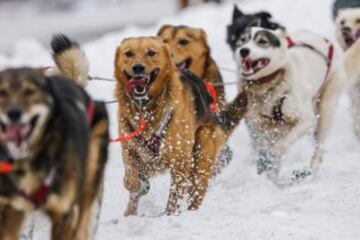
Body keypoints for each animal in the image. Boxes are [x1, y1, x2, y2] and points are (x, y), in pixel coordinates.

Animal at [115, 36, 248, 216]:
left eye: (151, 52)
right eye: (128, 53)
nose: (138, 67)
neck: (147, 110)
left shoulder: (180, 160)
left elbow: (176, 194)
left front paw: (170, 214)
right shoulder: (129, 148)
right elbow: (131, 179)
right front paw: (137, 186)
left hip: (201, 155)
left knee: (195, 191)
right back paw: (130, 212)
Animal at [235, 25, 344, 182]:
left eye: (262, 41)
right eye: (242, 40)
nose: (243, 51)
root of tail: (325, 40)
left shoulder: (306, 120)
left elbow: (281, 146)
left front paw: (273, 157)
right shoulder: (259, 126)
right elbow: (263, 149)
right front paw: (266, 172)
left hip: (327, 106)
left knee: (319, 148)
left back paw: (310, 172)